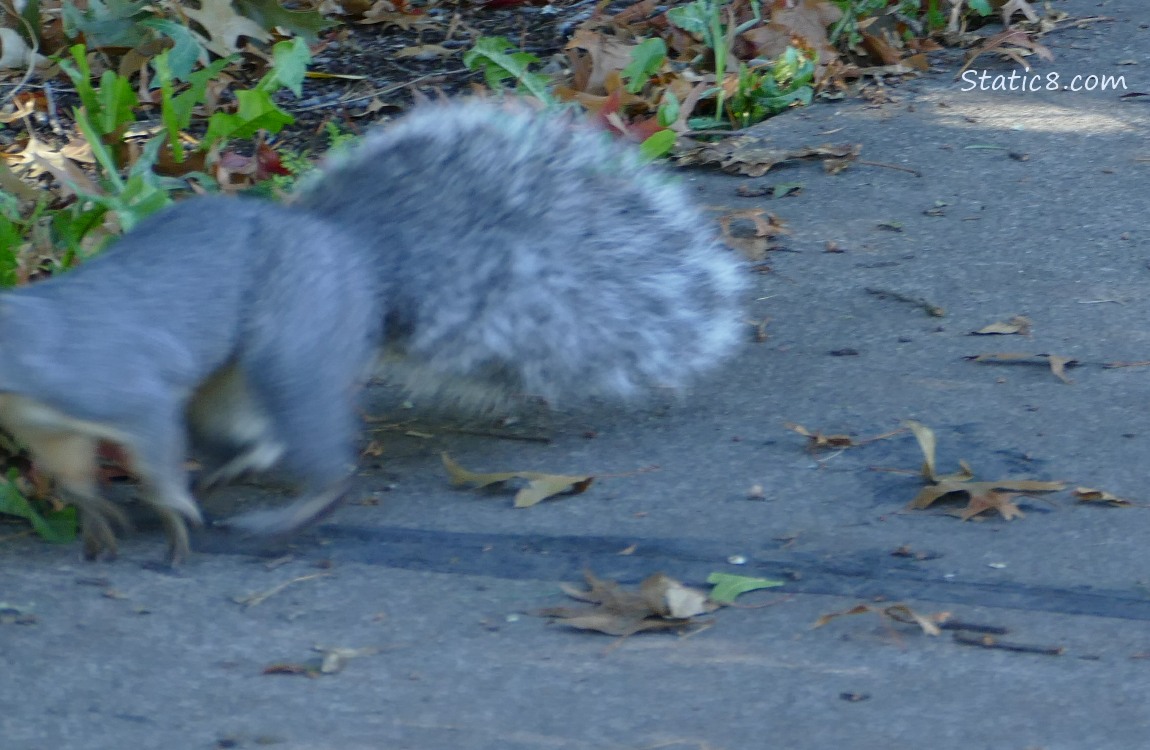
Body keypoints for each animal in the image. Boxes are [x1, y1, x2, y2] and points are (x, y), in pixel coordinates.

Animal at [0, 99, 746, 564]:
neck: (36, 346)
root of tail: (352, 256)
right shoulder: (52, 424)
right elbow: (73, 468)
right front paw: (94, 511)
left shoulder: (118, 382)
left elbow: (150, 439)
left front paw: (166, 508)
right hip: (232, 382)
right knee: (252, 431)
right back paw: (233, 467)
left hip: (296, 335)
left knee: (319, 453)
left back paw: (284, 509)